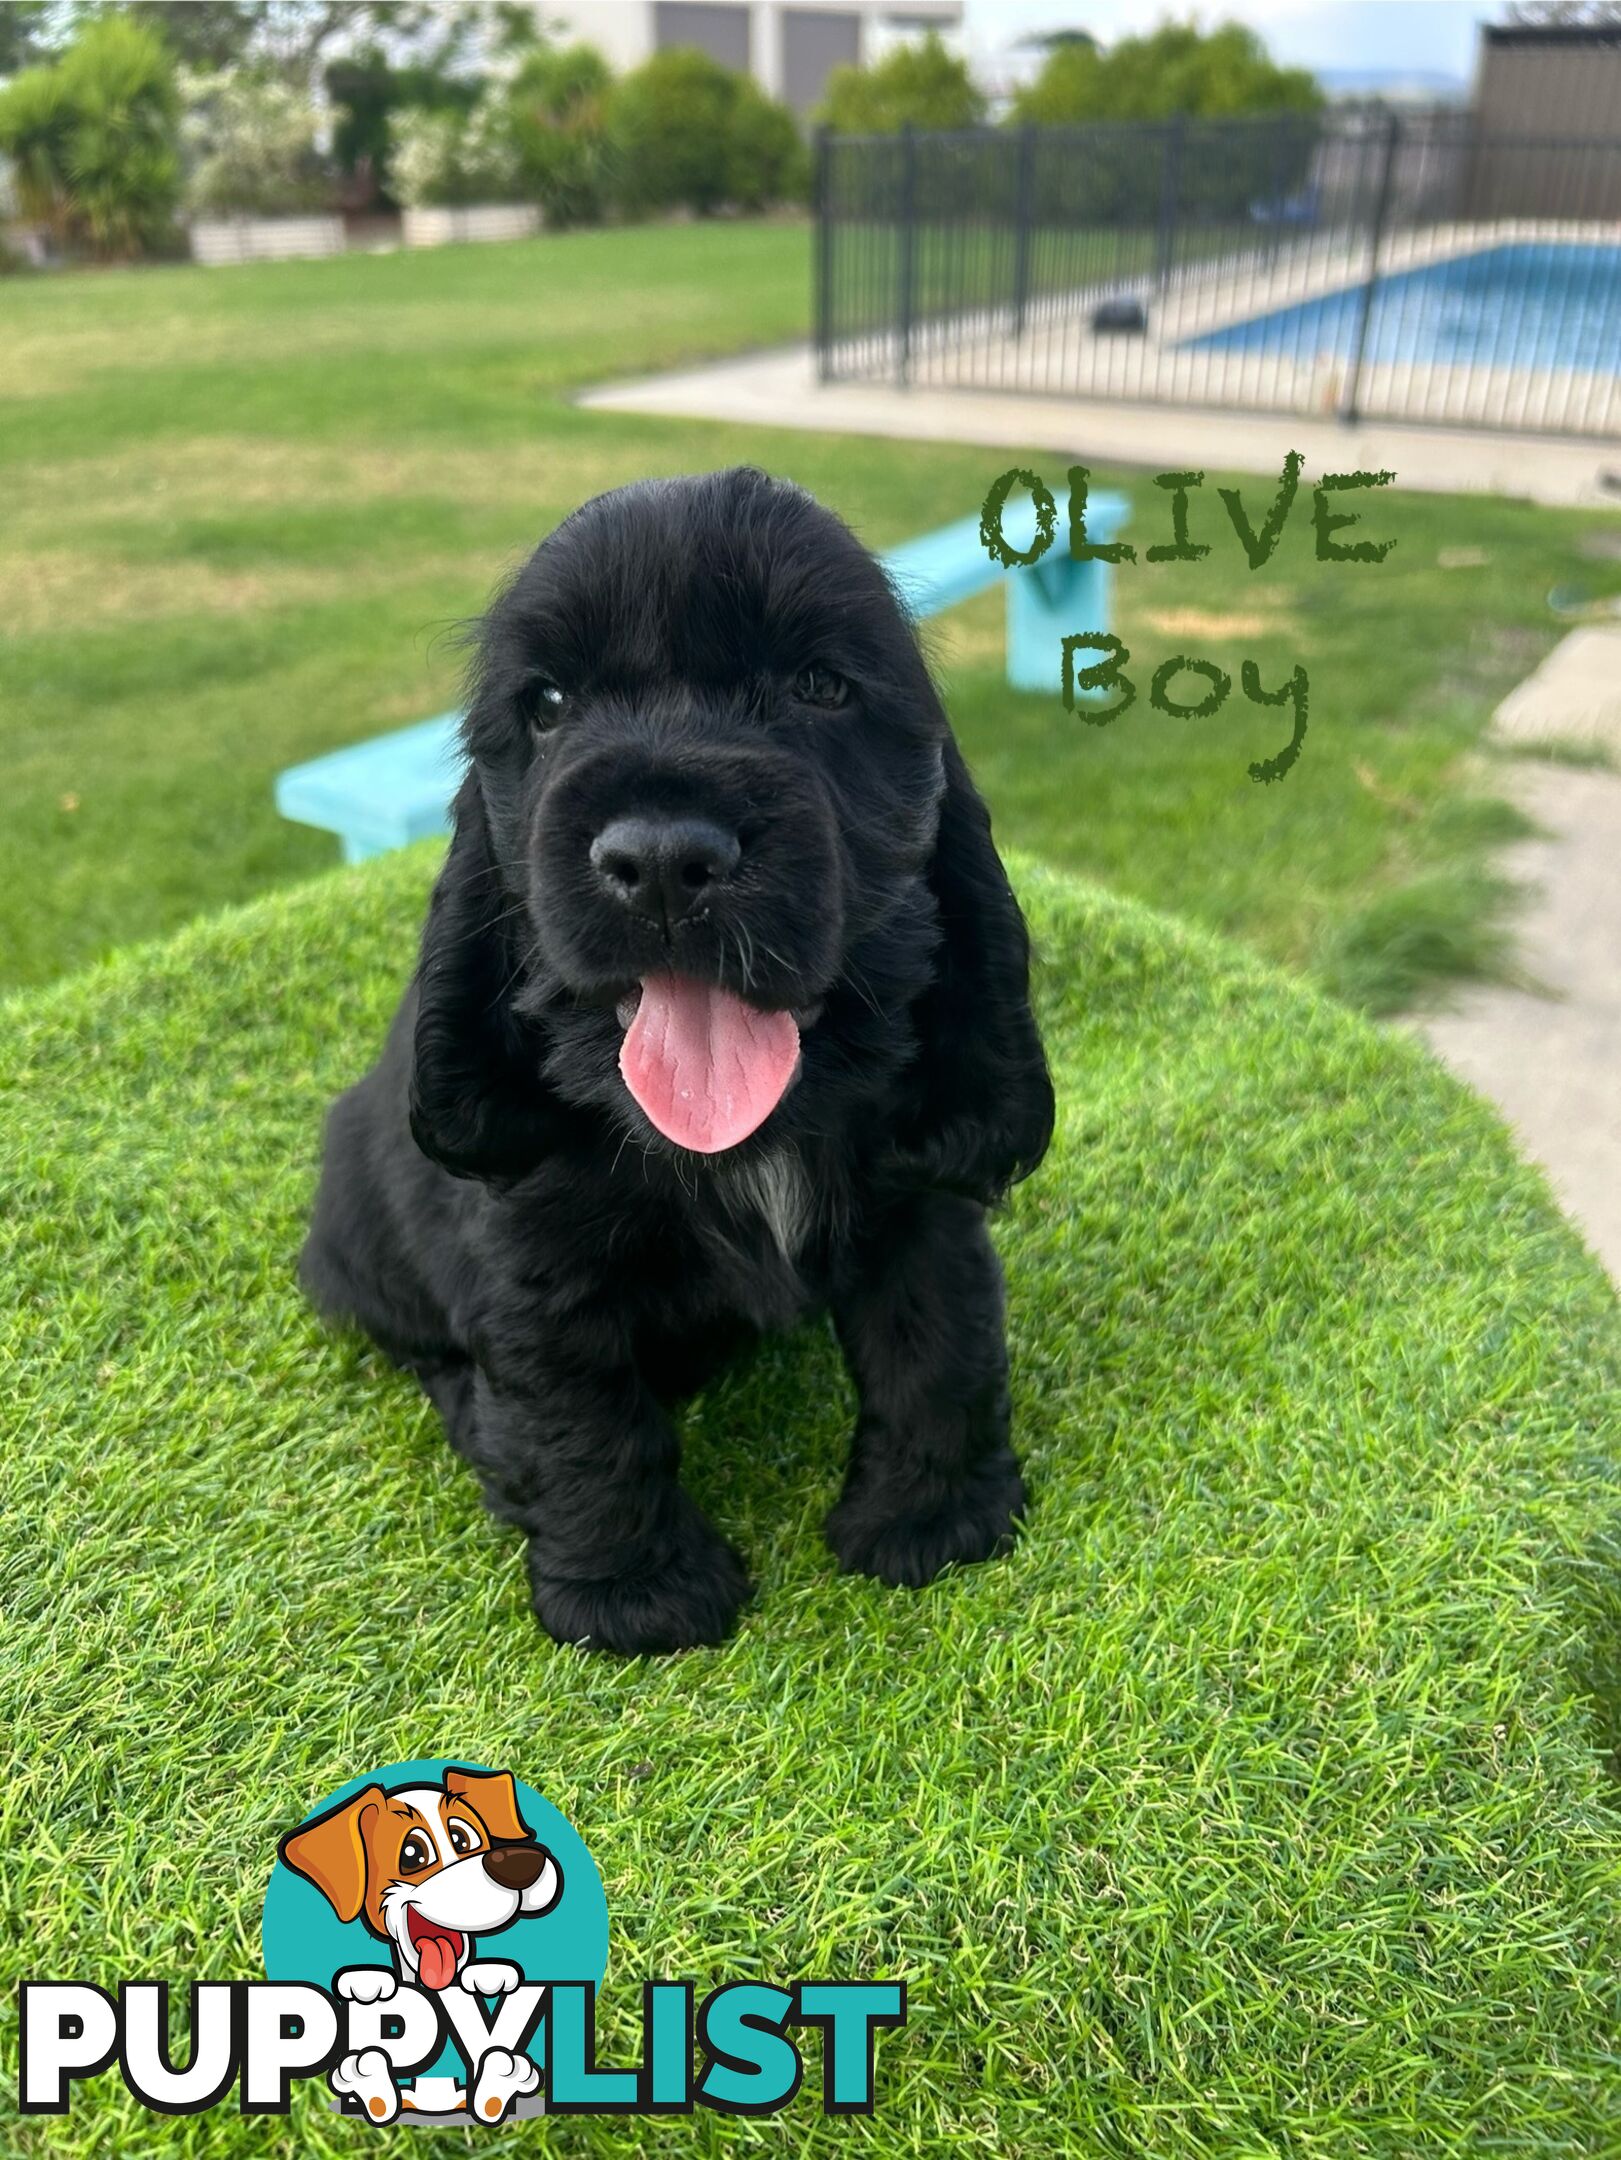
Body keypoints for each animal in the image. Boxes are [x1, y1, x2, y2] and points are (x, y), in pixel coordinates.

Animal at [302, 468, 1054, 1650]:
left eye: (818, 685)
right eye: (547, 705)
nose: (658, 861)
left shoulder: (919, 1199)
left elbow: (938, 1340)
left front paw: (932, 1521)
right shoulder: (531, 1265)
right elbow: (581, 1417)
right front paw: (635, 1594)